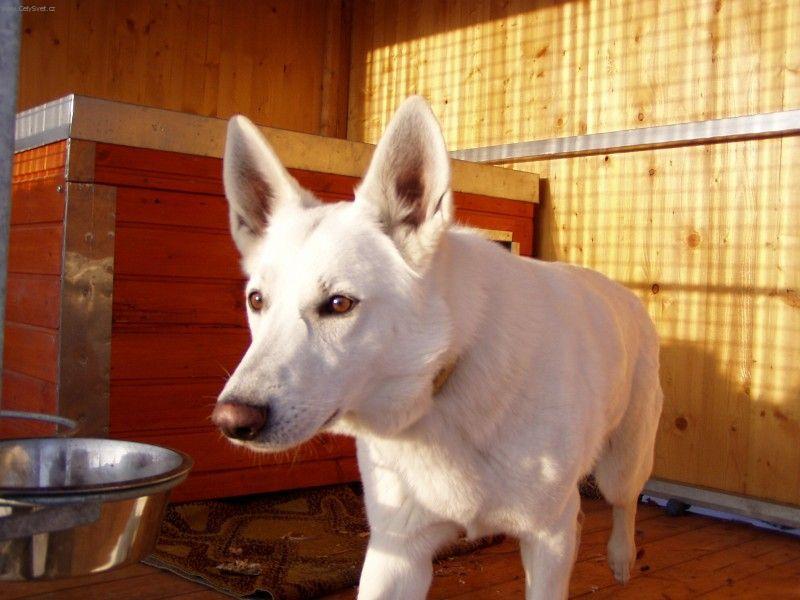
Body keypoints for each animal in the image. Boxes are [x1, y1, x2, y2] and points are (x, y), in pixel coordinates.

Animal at [211, 96, 664, 596]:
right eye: (256, 301)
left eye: (339, 304)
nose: (232, 421)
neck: (446, 380)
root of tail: (625, 294)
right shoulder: (398, 551)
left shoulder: (546, 539)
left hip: (620, 467)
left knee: (625, 503)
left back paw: (621, 557)